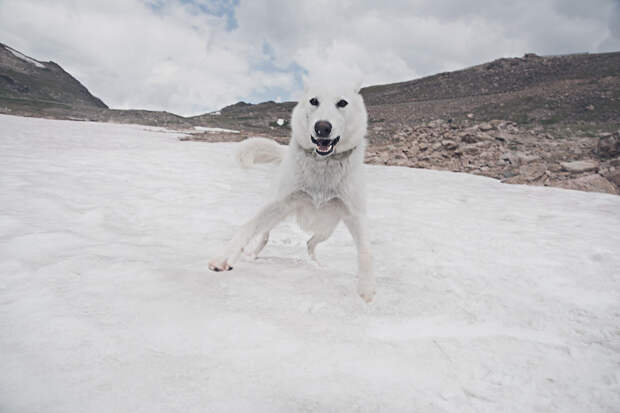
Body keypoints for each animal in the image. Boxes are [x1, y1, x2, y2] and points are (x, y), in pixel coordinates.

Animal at [208, 82, 376, 300]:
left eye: (342, 103)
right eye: (314, 101)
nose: (322, 127)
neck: (323, 168)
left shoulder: (356, 215)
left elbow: (366, 251)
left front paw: (366, 288)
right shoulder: (281, 203)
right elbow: (246, 227)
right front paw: (224, 257)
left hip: (327, 229)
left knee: (310, 243)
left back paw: (317, 265)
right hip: (276, 213)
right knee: (264, 235)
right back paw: (251, 255)